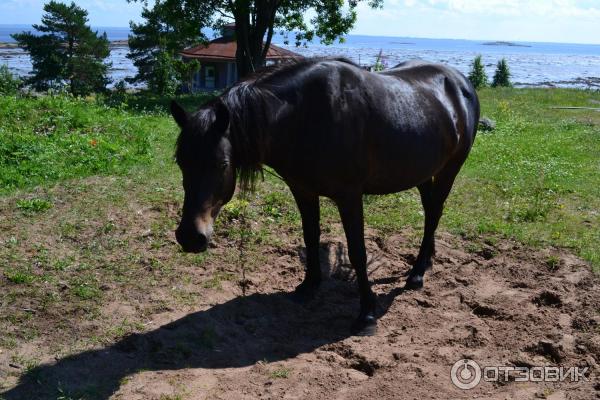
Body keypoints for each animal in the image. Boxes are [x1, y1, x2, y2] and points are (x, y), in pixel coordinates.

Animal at [171, 57, 480, 332]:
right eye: (180, 162)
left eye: (222, 164)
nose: (190, 237)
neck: (305, 117)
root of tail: (461, 82)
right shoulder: (303, 191)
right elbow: (310, 237)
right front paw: (308, 286)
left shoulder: (350, 197)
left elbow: (358, 251)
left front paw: (366, 314)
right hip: (421, 172)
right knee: (430, 211)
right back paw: (426, 260)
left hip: (450, 168)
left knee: (435, 211)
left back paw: (416, 275)